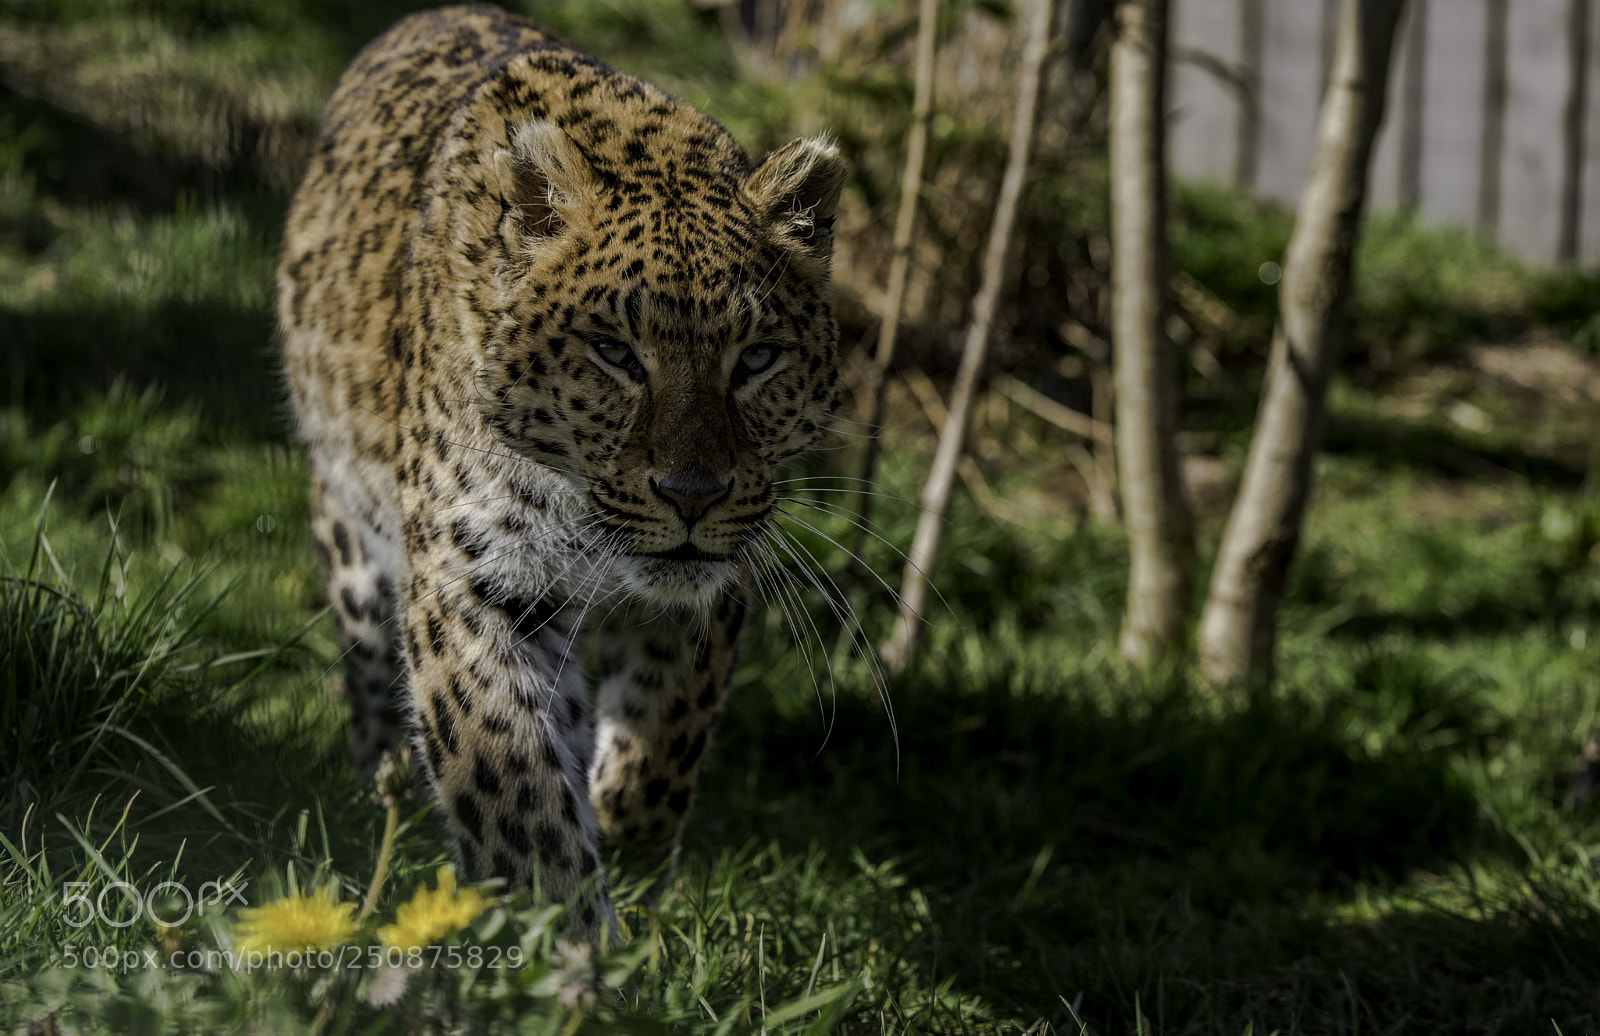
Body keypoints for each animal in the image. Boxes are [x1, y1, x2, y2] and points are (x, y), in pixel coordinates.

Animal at [277, 3, 846, 937]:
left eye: (757, 360)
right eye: (616, 354)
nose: (692, 497)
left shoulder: (719, 577)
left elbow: (662, 745)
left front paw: (627, 842)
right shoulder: (469, 577)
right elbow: (511, 782)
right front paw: (566, 938)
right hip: (349, 525)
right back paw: (380, 784)